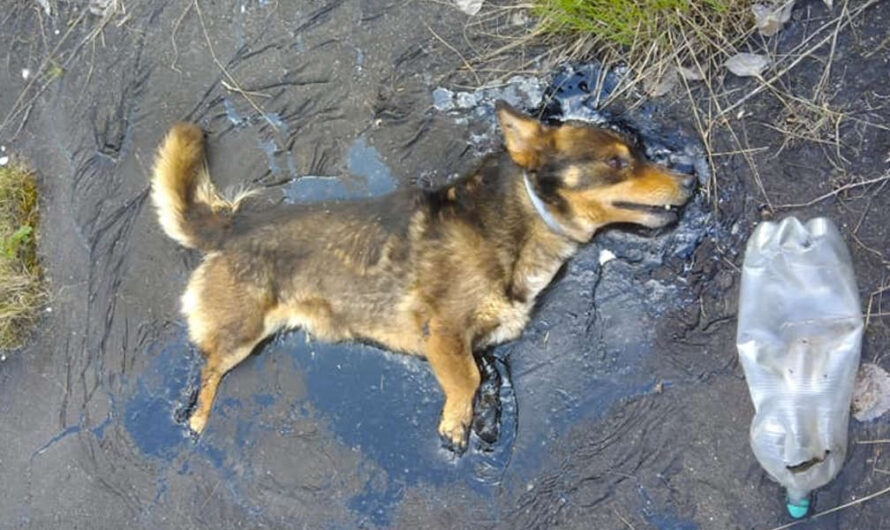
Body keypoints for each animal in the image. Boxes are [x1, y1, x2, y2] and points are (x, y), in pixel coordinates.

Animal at [151, 102, 692, 450]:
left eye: (639, 154)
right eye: (616, 161)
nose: (692, 180)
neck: (520, 221)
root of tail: (232, 223)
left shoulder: (481, 342)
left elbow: (482, 375)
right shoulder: (444, 332)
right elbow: (466, 379)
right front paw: (457, 424)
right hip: (241, 333)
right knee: (208, 369)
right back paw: (196, 417)